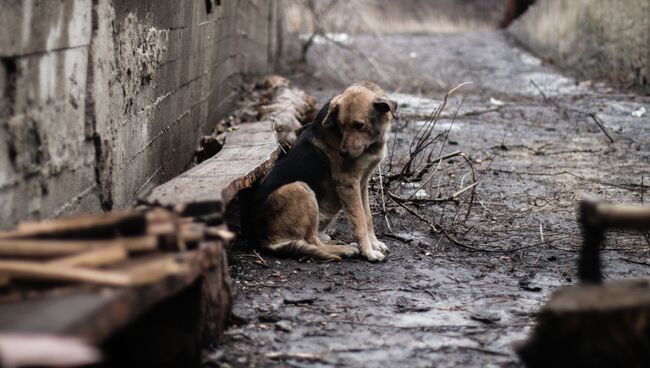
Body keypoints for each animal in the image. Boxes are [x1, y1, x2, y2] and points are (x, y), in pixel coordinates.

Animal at [246, 82, 394, 264]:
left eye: (359, 125)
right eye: (341, 125)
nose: (343, 153)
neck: (372, 142)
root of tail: (261, 241)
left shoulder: (362, 183)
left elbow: (367, 217)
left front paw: (373, 244)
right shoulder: (348, 183)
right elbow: (359, 221)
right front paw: (368, 251)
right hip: (299, 188)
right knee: (312, 241)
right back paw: (344, 249)